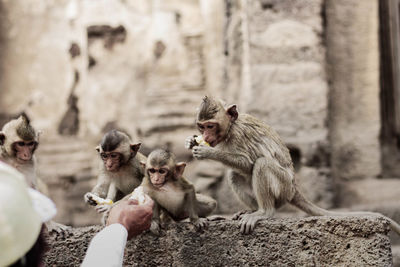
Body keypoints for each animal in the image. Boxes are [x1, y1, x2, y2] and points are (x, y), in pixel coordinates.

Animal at [185, 97, 400, 236]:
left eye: (211, 126)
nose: (206, 136)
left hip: (283, 188)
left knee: (262, 164)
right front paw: (190, 141)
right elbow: (241, 169)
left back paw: (264, 212)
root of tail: (294, 187)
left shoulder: (238, 135)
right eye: (201, 126)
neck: (231, 127)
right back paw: (252, 209)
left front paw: (208, 153)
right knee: (234, 174)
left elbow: (247, 162)